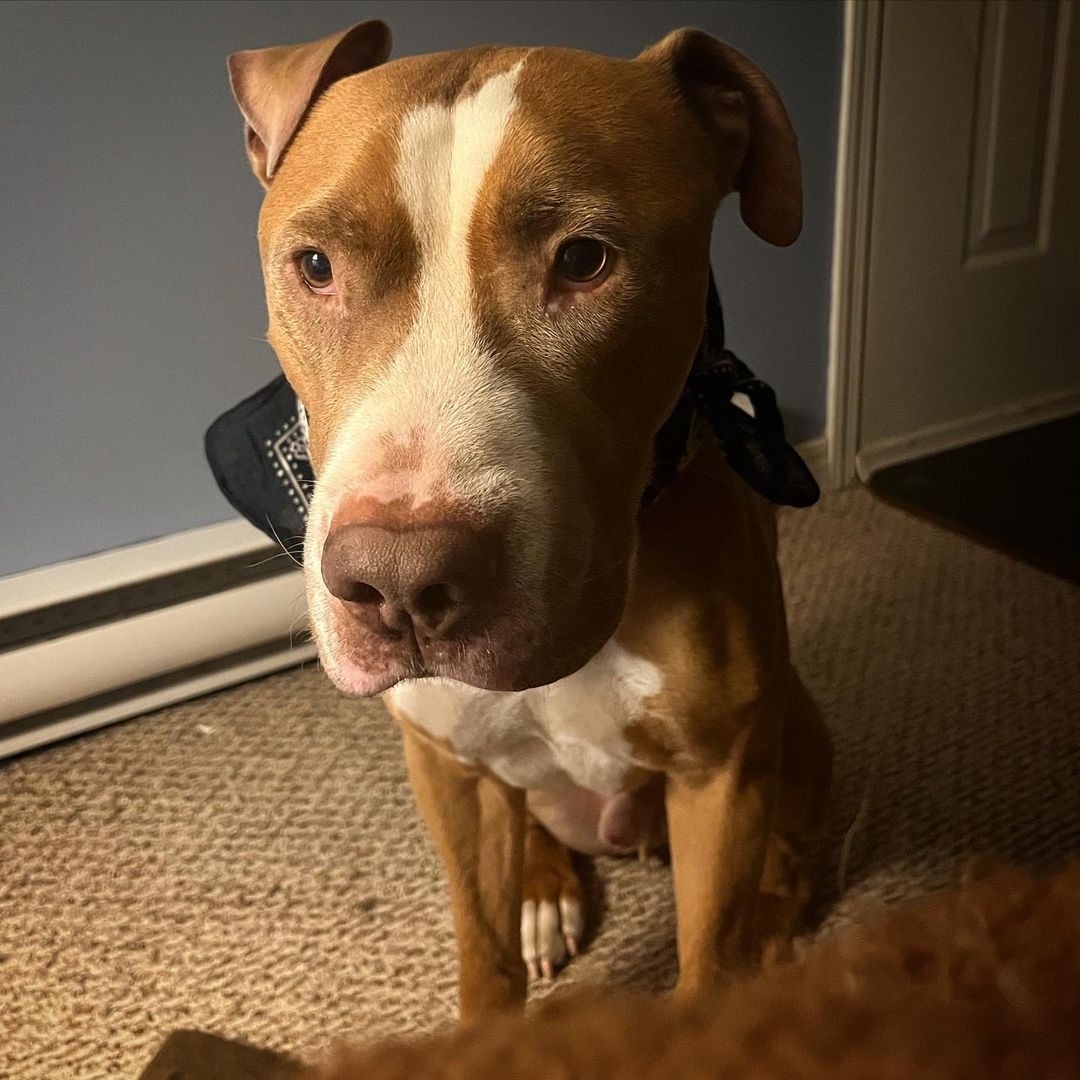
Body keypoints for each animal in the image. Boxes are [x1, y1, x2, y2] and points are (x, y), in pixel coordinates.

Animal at [227, 19, 829, 1019]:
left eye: (584, 259)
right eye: (315, 266)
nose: (398, 581)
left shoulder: (720, 777)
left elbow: (708, 964)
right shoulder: (446, 773)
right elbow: (486, 954)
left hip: (790, 736)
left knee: (781, 864)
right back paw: (546, 891)